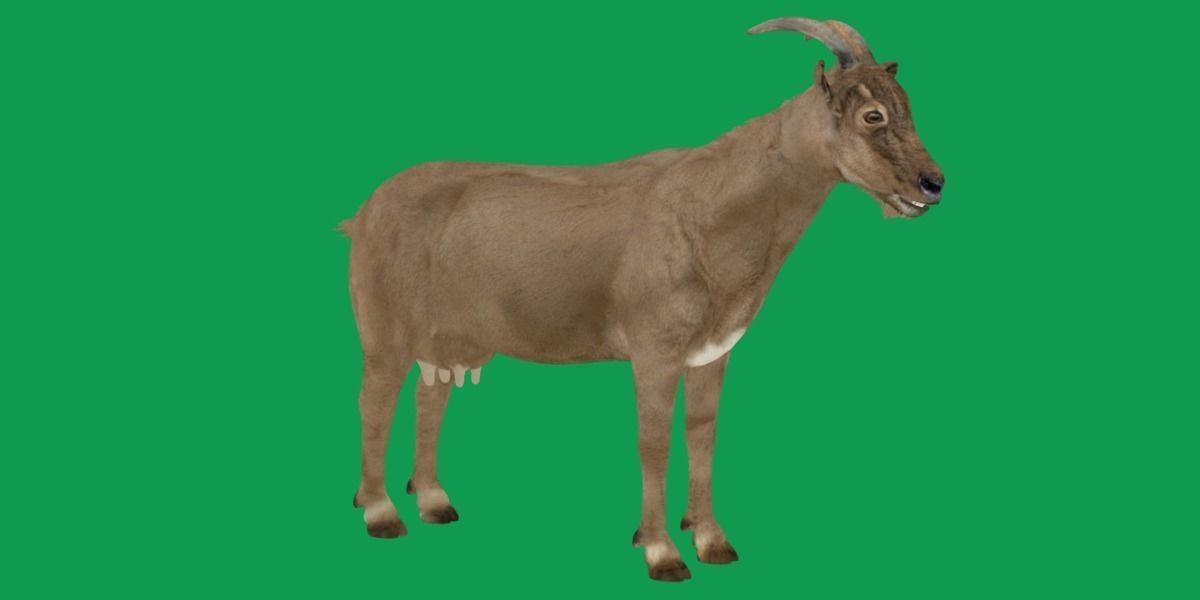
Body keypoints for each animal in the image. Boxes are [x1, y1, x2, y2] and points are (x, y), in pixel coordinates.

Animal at [343, 17, 944, 582]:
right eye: (873, 116)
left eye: (904, 105)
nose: (932, 183)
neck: (710, 210)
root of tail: (364, 214)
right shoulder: (654, 352)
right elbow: (652, 442)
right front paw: (661, 553)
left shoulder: (711, 353)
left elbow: (702, 434)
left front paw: (713, 541)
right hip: (384, 329)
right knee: (375, 400)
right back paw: (380, 513)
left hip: (450, 339)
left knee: (430, 396)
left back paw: (434, 502)